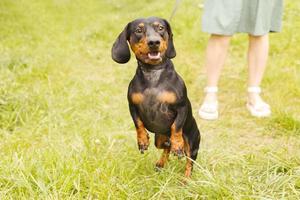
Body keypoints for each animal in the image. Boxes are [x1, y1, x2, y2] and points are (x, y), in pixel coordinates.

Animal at [111, 16, 200, 177]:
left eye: (161, 28)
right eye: (138, 30)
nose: (154, 42)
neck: (153, 73)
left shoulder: (181, 107)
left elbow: (176, 126)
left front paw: (178, 144)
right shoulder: (132, 106)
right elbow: (138, 124)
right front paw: (142, 140)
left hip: (192, 143)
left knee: (189, 162)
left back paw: (185, 178)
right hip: (159, 140)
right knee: (166, 147)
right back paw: (161, 163)